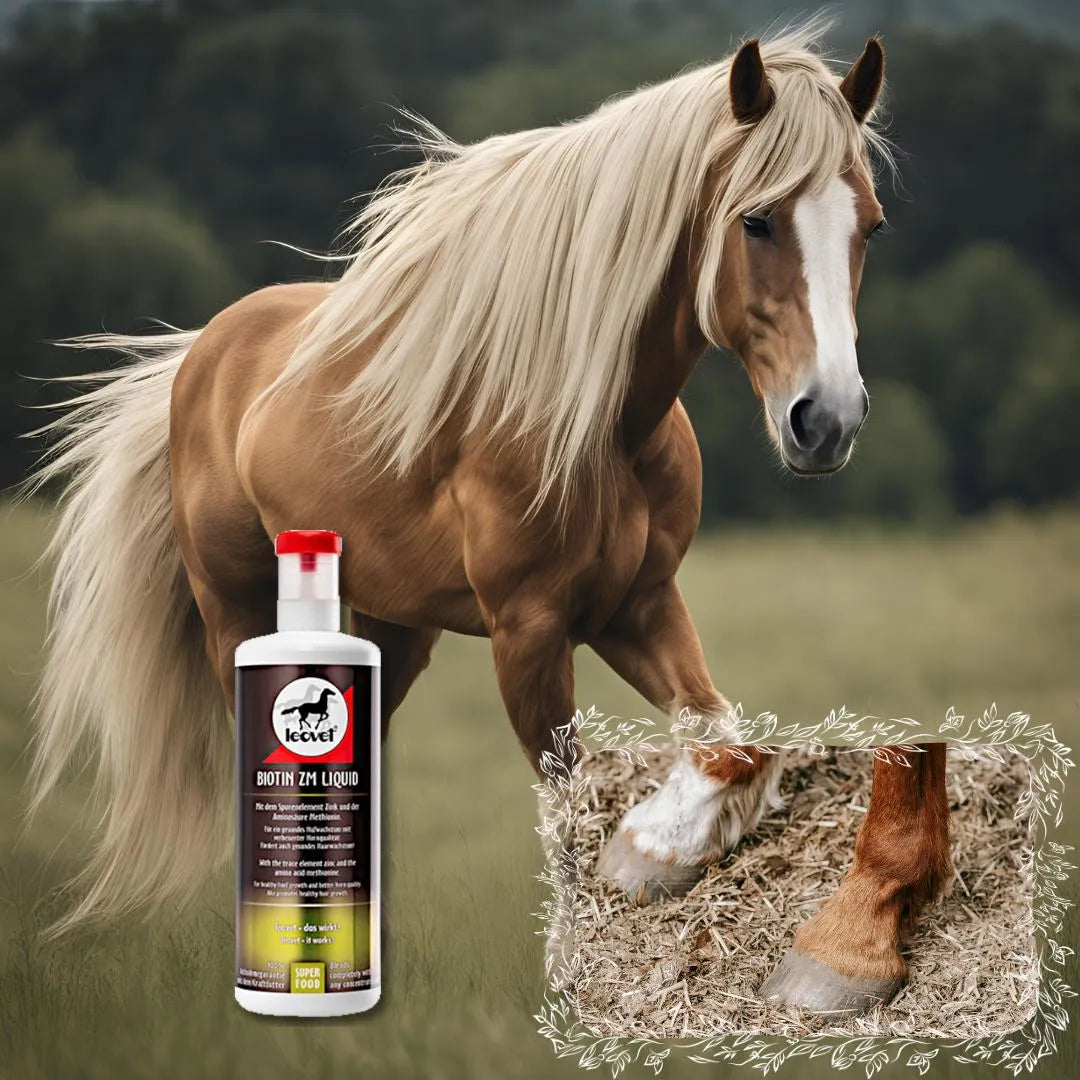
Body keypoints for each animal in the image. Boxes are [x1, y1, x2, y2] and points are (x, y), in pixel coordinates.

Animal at [30, 23, 951, 1015]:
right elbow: (567, 806)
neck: (599, 423)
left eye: (870, 225)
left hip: (393, 633)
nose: (829, 420)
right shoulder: (530, 636)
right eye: (758, 219)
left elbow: (725, 737)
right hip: (234, 613)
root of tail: (203, 354)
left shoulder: (641, 609)